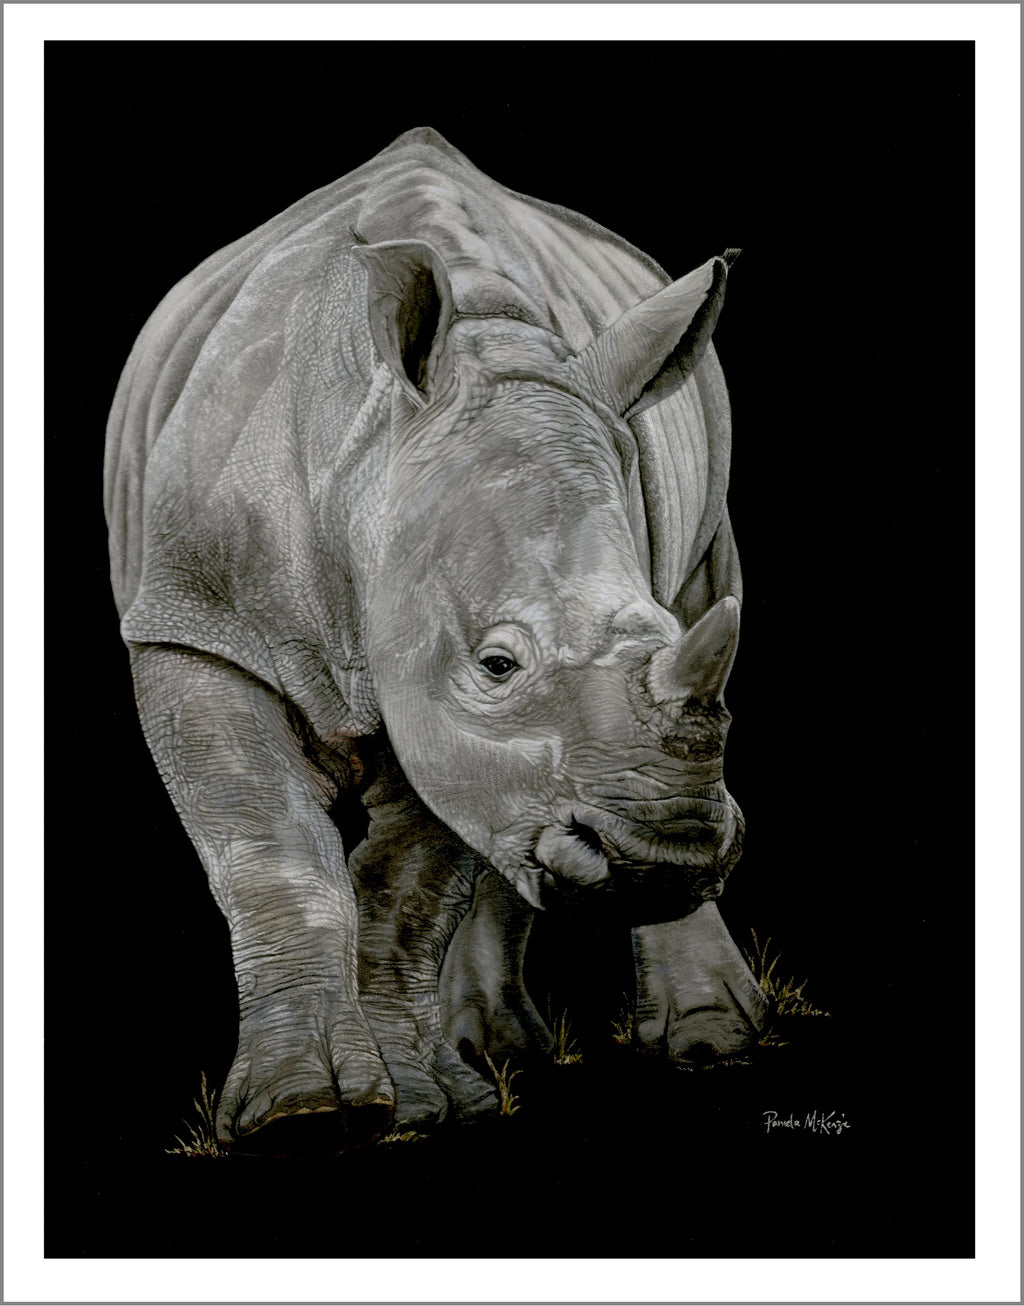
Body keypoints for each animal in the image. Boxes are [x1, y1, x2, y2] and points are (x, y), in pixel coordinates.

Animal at [105, 127, 767, 1154]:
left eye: (664, 636)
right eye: (496, 664)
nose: (666, 859)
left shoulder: (433, 691)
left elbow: (411, 884)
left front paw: (414, 1106)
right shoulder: (194, 625)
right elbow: (272, 853)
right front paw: (305, 1112)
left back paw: (681, 1044)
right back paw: (487, 1053)